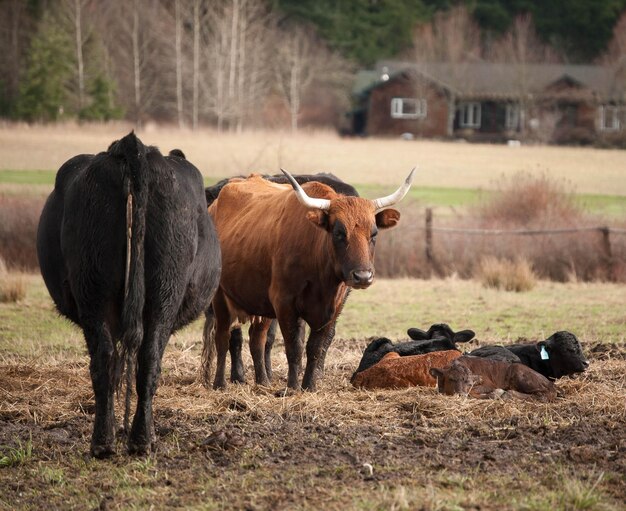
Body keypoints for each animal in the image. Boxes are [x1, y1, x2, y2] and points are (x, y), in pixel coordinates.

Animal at [36, 131, 221, 456]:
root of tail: (133, 149)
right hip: (164, 292)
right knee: (147, 358)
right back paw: (141, 439)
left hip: (94, 289)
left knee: (106, 360)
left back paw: (105, 442)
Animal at [428, 356, 556, 404]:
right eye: (451, 379)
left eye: (469, 382)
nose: (461, 394)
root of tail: (551, 383)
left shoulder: (489, 384)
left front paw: (498, 393)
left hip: (520, 374)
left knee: (543, 395)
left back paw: (508, 394)